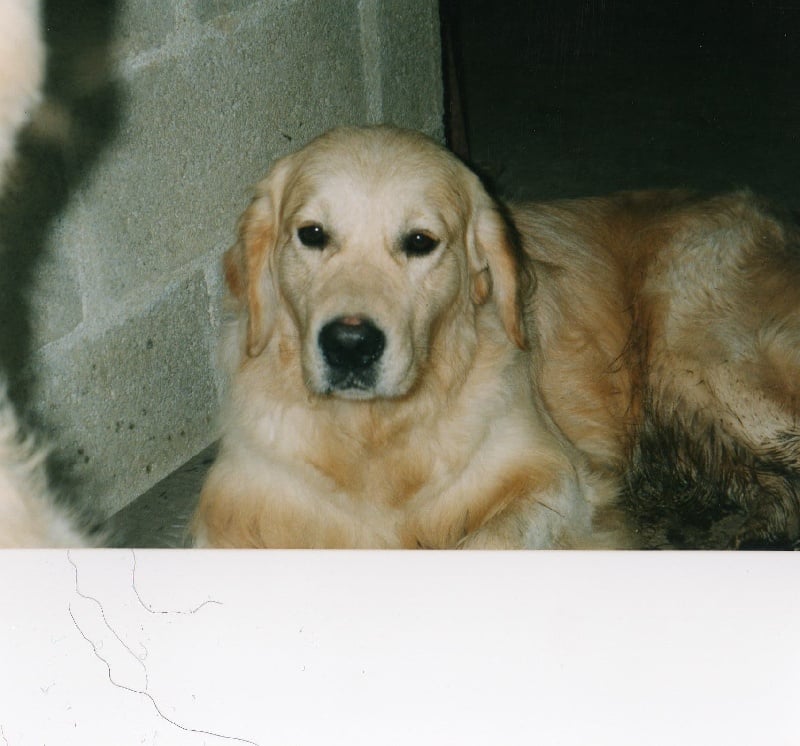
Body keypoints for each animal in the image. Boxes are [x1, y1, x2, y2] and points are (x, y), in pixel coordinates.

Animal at [192, 125, 800, 549]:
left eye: (420, 241)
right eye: (312, 234)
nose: (350, 346)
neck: (376, 436)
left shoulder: (557, 483)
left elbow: (483, 542)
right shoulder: (234, 514)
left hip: (696, 358)